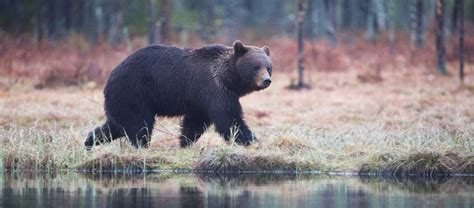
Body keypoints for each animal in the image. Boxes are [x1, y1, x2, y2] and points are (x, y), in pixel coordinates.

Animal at [83, 40, 272, 148]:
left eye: (268, 67)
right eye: (256, 66)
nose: (266, 80)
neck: (228, 78)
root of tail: (110, 76)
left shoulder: (200, 100)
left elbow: (194, 122)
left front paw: (185, 142)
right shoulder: (213, 90)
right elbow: (229, 119)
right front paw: (252, 140)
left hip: (122, 98)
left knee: (115, 125)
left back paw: (89, 141)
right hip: (134, 92)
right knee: (139, 124)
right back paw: (142, 145)